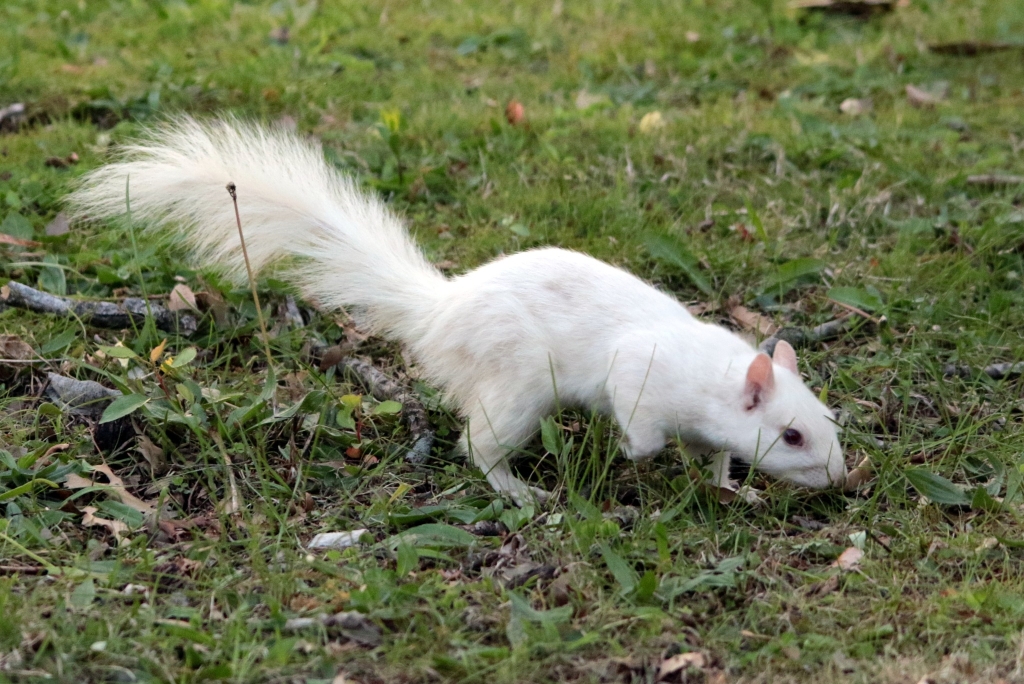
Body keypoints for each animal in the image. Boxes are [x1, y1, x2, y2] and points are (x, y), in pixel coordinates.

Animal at [66, 116, 847, 501]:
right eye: (792, 436)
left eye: (826, 421)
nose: (845, 479)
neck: (713, 376)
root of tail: (437, 312)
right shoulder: (640, 377)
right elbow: (643, 428)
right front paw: (631, 454)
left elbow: (715, 458)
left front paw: (733, 490)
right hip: (517, 385)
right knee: (478, 446)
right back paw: (520, 491)